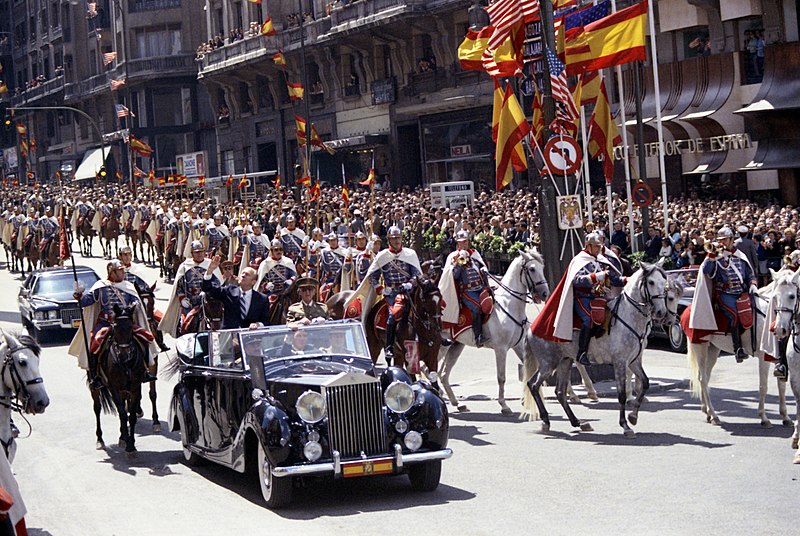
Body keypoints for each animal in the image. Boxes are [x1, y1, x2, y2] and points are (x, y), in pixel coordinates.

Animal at [438, 251, 552, 414]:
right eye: (531, 269)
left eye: (542, 267)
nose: (544, 293)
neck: (509, 306)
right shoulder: (501, 349)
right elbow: (501, 377)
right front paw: (504, 405)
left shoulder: (517, 346)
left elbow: (528, 370)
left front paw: (526, 398)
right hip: (441, 346)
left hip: (456, 346)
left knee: (443, 374)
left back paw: (457, 403)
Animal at [520, 262, 672, 436]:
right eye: (651, 282)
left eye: (664, 282)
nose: (661, 312)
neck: (628, 315)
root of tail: (532, 328)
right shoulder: (620, 362)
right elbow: (621, 395)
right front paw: (625, 425)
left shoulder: (634, 361)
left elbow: (645, 383)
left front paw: (633, 416)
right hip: (548, 363)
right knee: (533, 385)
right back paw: (546, 421)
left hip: (564, 361)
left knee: (559, 392)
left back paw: (578, 422)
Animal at [684, 272, 792, 428]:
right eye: (776, 297)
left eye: (792, 296)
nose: (781, 329)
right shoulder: (764, 357)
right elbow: (763, 386)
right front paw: (763, 417)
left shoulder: (779, 357)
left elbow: (782, 386)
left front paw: (785, 416)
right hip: (701, 347)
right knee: (703, 379)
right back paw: (714, 415)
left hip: (713, 350)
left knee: (704, 377)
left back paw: (707, 411)